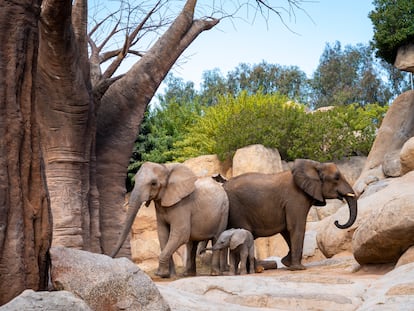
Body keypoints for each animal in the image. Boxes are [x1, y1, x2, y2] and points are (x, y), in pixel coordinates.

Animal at [225, 158, 358, 270]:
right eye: (336, 178)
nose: (337, 222)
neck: (314, 166)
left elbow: (286, 229)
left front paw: (287, 263)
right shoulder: (296, 198)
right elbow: (297, 227)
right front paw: (299, 268)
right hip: (237, 210)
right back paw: (258, 269)